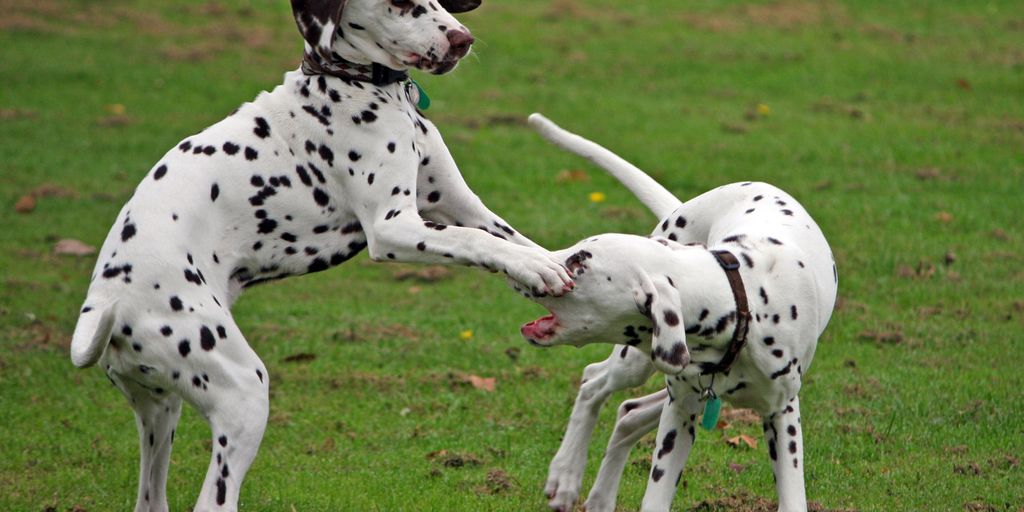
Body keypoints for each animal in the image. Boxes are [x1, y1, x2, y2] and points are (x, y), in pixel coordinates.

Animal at [69, 4, 577, 512]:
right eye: (399, 3)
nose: (462, 39)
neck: (355, 86)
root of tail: (107, 305)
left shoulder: (458, 205)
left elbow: (512, 241)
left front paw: (548, 271)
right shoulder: (394, 227)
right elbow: (477, 242)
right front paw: (535, 270)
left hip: (160, 415)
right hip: (242, 394)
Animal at [516, 115, 835, 512]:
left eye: (580, 261)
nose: (531, 261)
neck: (742, 298)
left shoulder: (782, 417)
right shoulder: (679, 413)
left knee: (628, 412)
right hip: (636, 365)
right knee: (593, 384)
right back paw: (566, 474)